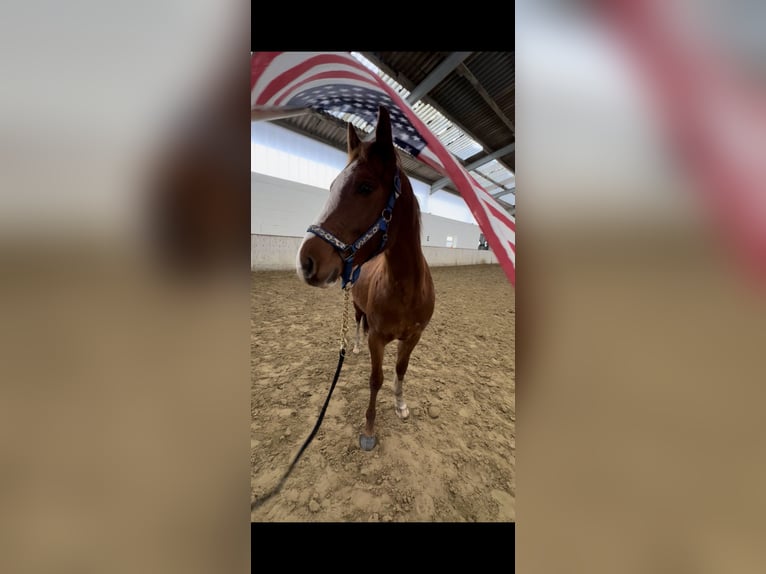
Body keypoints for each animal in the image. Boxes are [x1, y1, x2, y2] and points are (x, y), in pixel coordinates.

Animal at [296, 105, 435, 451]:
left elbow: (400, 369)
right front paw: (370, 428)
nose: (306, 261)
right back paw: (355, 347)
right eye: (332, 187)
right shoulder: (378, 339)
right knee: (358, 324)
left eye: (365, 187)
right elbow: (376, 379)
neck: (406, 289)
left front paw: (400, 405)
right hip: (357, 309)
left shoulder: (414, 336)